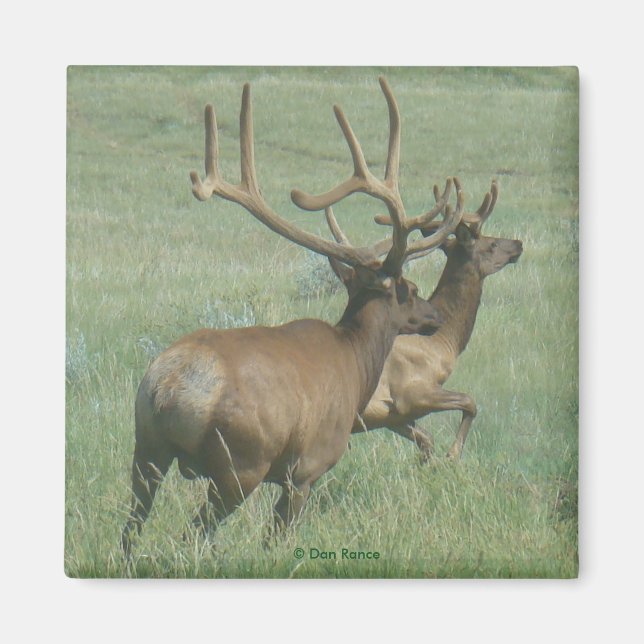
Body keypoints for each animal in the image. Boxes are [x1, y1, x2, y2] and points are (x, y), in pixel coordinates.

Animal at [121, 77, 466, 557]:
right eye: (409, 289)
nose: (434, 316)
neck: (356, 362)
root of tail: (168, 389)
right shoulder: (307, 467)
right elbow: (277, 541)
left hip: (146, 450)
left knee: (129, 532)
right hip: (239, 465)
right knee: (191, 535)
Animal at [345, 178, 523, 460]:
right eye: (491, 244)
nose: (518, 244)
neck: (444, 342)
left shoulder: (392, 416)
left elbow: (426, 440)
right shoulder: (411, 393)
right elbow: (470, 402)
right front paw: (453, 454)